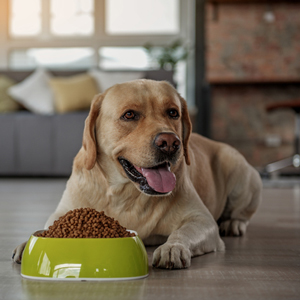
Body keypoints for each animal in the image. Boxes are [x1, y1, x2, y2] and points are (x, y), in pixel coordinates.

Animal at [12, 78, 262, 268]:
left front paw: (172, 247)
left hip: (240, 170)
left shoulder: (202, 220)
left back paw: (233, 223)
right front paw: (28, 242)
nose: (170, 143)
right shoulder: (64, 211)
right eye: (129, 115)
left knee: (242, 213)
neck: (124, 193)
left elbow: (182, 233)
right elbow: (50, 226)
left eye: (173, 112)